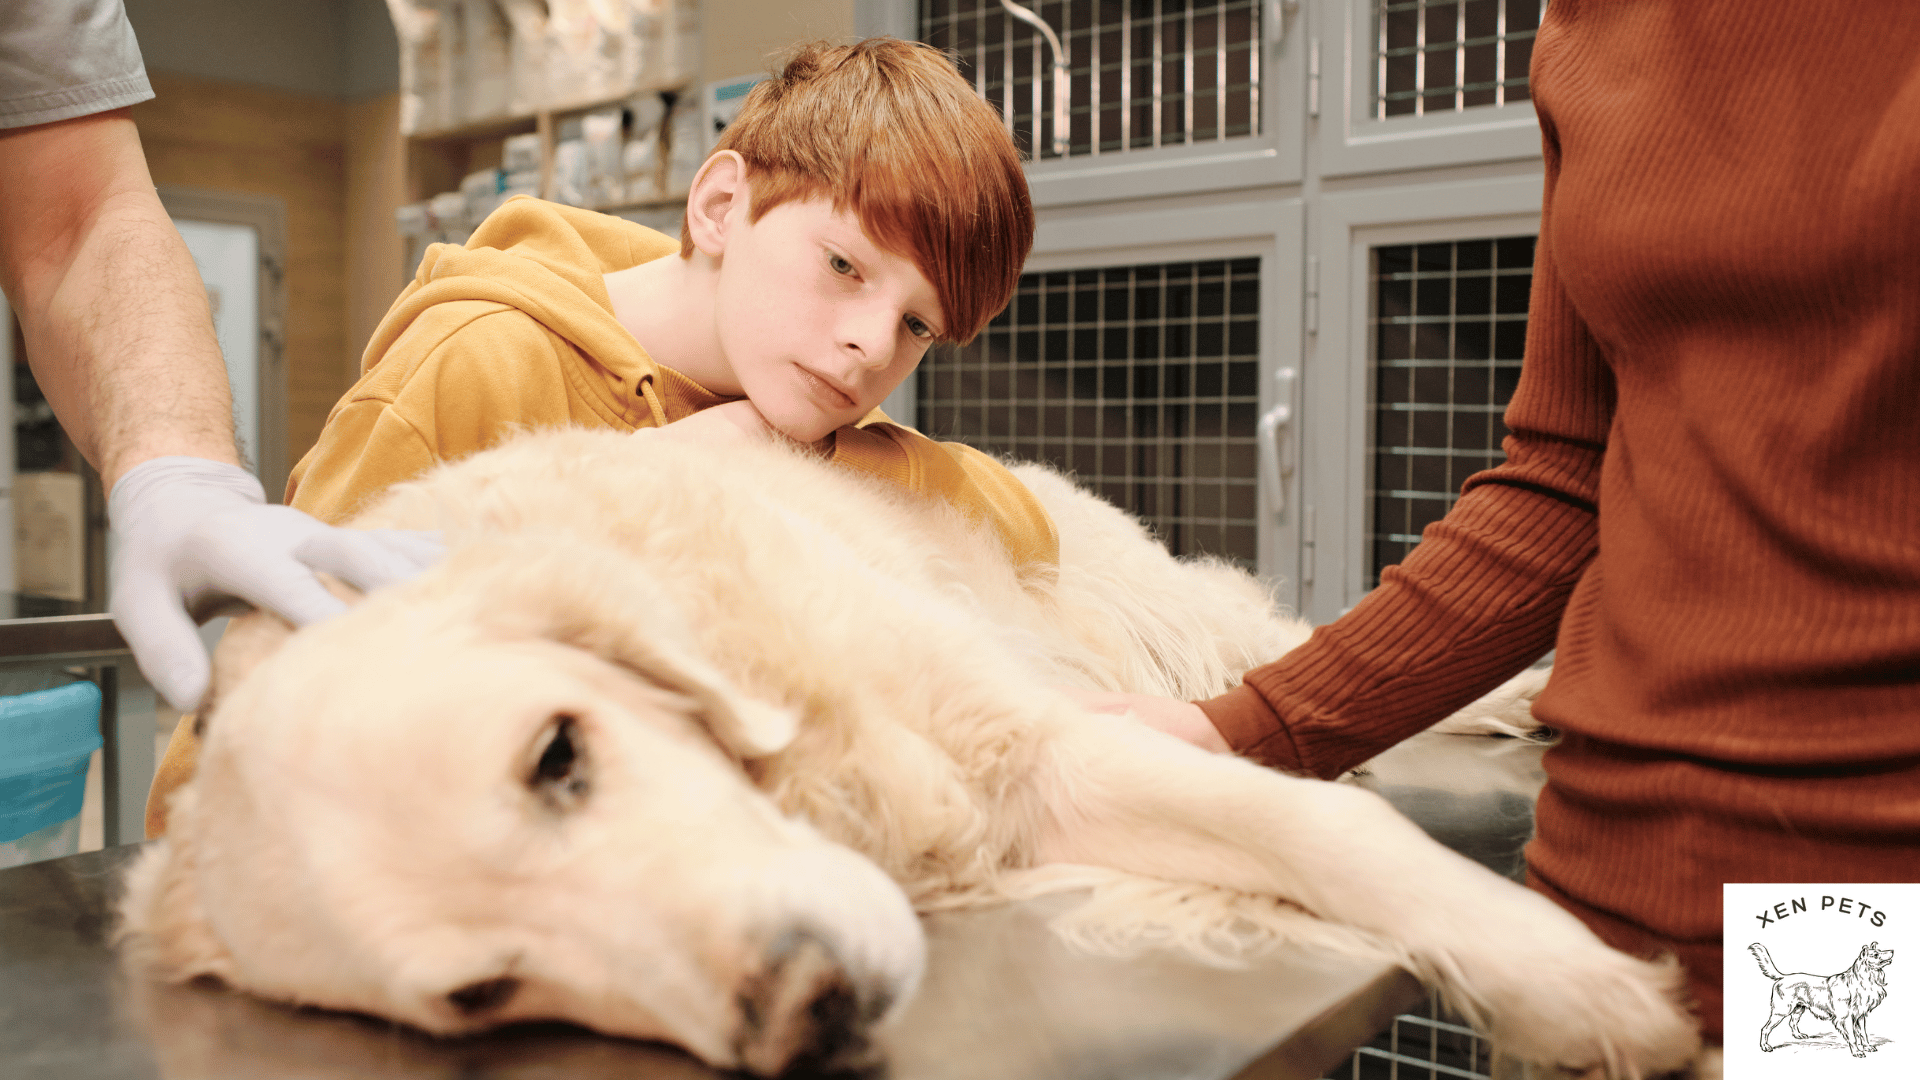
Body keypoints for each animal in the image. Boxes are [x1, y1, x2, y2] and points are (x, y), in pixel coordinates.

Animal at [116, 424, 1697, 1068]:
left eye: (558, 753)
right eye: (483, 995)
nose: (803, 1006)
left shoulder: (1045, 741)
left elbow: (1324, 827)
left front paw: (1572, 986)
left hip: (1169, 631)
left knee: (1310, 659)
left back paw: (1529, 687)